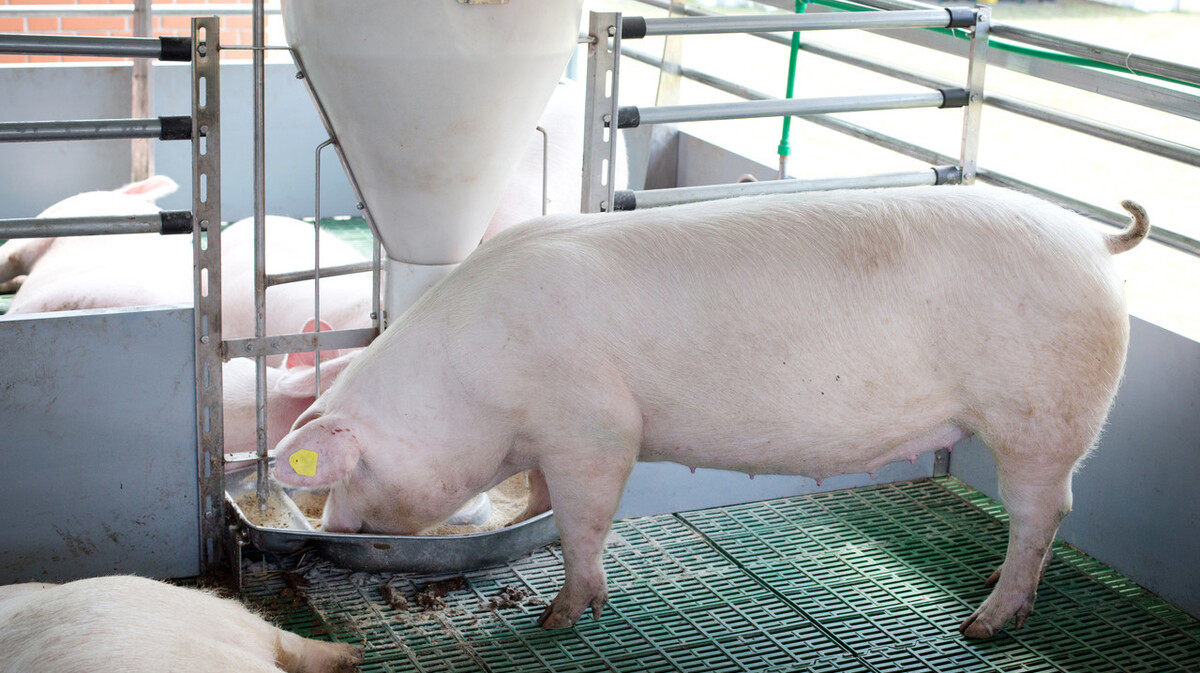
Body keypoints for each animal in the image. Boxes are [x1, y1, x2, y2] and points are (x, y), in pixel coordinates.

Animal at [272, 185, 1150, 640]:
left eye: (349, 470)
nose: (332, 527)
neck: (472, 380)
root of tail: (1096, 243)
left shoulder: (596, 425)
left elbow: (585, 521)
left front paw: (560, 618)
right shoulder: (550, 436)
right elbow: (543, 499)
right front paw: (529, 522)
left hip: (1042, 416)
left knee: (1044, 509)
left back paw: (983, 622)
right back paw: (994, 586)